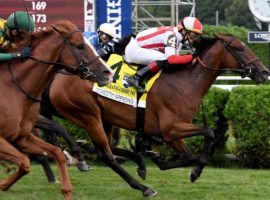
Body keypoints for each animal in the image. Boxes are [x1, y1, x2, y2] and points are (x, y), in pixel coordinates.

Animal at [0, 20, 113, 200]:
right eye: (80, 46)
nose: (108, 73)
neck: (13, 87)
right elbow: (25, 161)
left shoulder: (21, 137)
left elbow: (54, 154)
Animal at [48, 33, 268, 196]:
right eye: (239, 49)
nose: (264, 72)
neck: (187, 82)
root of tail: (60, 75)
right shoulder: (170, 129)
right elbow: (209, 132)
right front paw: (195, 172)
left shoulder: (171, 132)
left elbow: (189, 155)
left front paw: (158, 160)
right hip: (88, 115)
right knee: (105, 154)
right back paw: (143, 187)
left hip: (106, 117)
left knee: (109, 146)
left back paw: (139, 164)